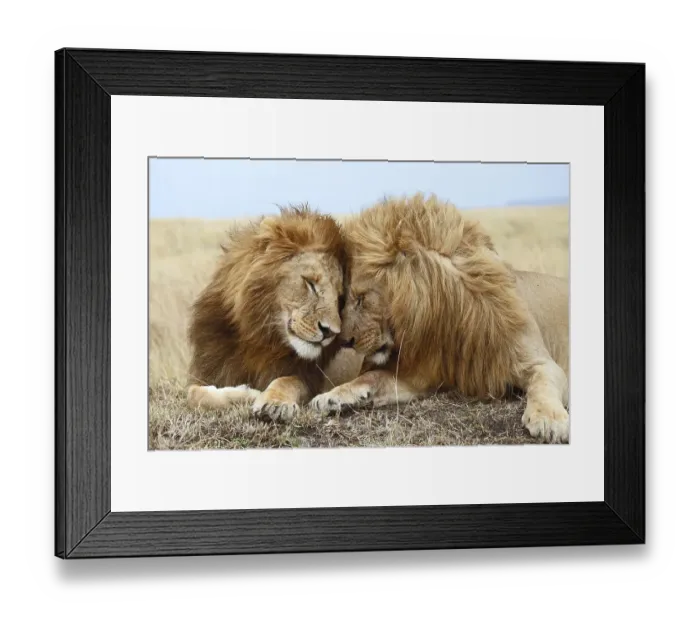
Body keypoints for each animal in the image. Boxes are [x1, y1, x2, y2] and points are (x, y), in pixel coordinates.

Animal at [186, 205, 347, 422]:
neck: (260, 337)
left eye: (339, 297)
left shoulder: (309, 378)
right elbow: (194, 394)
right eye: (310, 283)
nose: (331, 332)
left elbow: (286, 380)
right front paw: (247, 394)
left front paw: (274, 403)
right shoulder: (208, 371)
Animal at [309, 193, 570, 444]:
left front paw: (549, 420)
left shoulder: (539, 362)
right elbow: (372, 376)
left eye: (362, 298)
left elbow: (544, 383)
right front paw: (332, 396)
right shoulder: (420, 376)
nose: (344, 341)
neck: (448, 317)